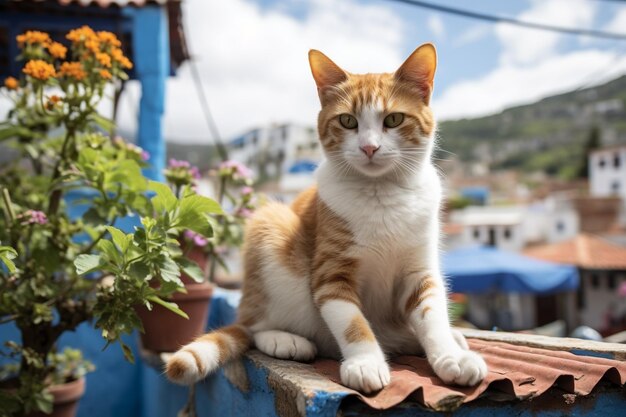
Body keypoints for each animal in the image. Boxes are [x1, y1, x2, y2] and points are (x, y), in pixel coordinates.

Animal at [166, 44, 488, 392]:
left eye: (393, 119)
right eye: (347, 121)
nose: (369, 148)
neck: (381, 193)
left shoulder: (419, 273)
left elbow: (433, 317)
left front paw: (450, 355)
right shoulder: (331, 273)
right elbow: (351, 322)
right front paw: (365, 362)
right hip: (270, 225)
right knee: (254, 326)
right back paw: (284, 340)